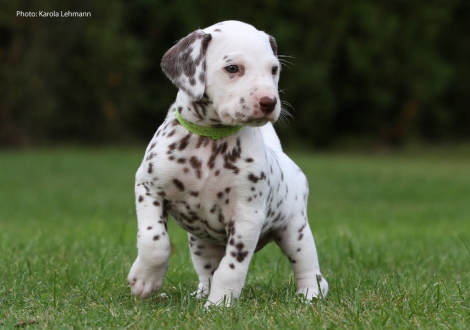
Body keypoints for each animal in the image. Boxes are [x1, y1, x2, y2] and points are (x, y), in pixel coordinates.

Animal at [126, 20, 328, 306]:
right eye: (233, 68)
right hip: (200, 243)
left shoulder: (247, 217)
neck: (209, 142)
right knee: (206, 272)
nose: (269, 102)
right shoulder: (149, 189)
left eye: (274, 69)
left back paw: (309, 294)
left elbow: (232, 267)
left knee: (309, 268)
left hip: (295, 231)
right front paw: (146, 280)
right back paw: (200, 293)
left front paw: (220, 304)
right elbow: (155, 241)